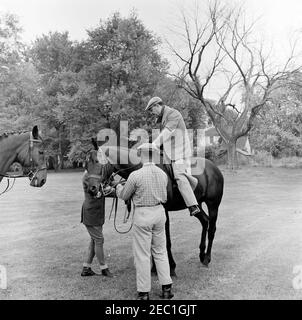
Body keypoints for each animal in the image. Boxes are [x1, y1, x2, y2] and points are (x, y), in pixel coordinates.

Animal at [86, 138, 223, 276]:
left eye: (98, 162)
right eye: (86, 165)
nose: (91, 189)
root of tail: (214, 167)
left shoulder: (163, 211)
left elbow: (166, 241)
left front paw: (171, 267)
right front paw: (154, 269)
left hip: (213, 205)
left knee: (212, 229)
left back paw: (206, 258)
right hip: (197, 204)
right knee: (205, 221)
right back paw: (201, 254)